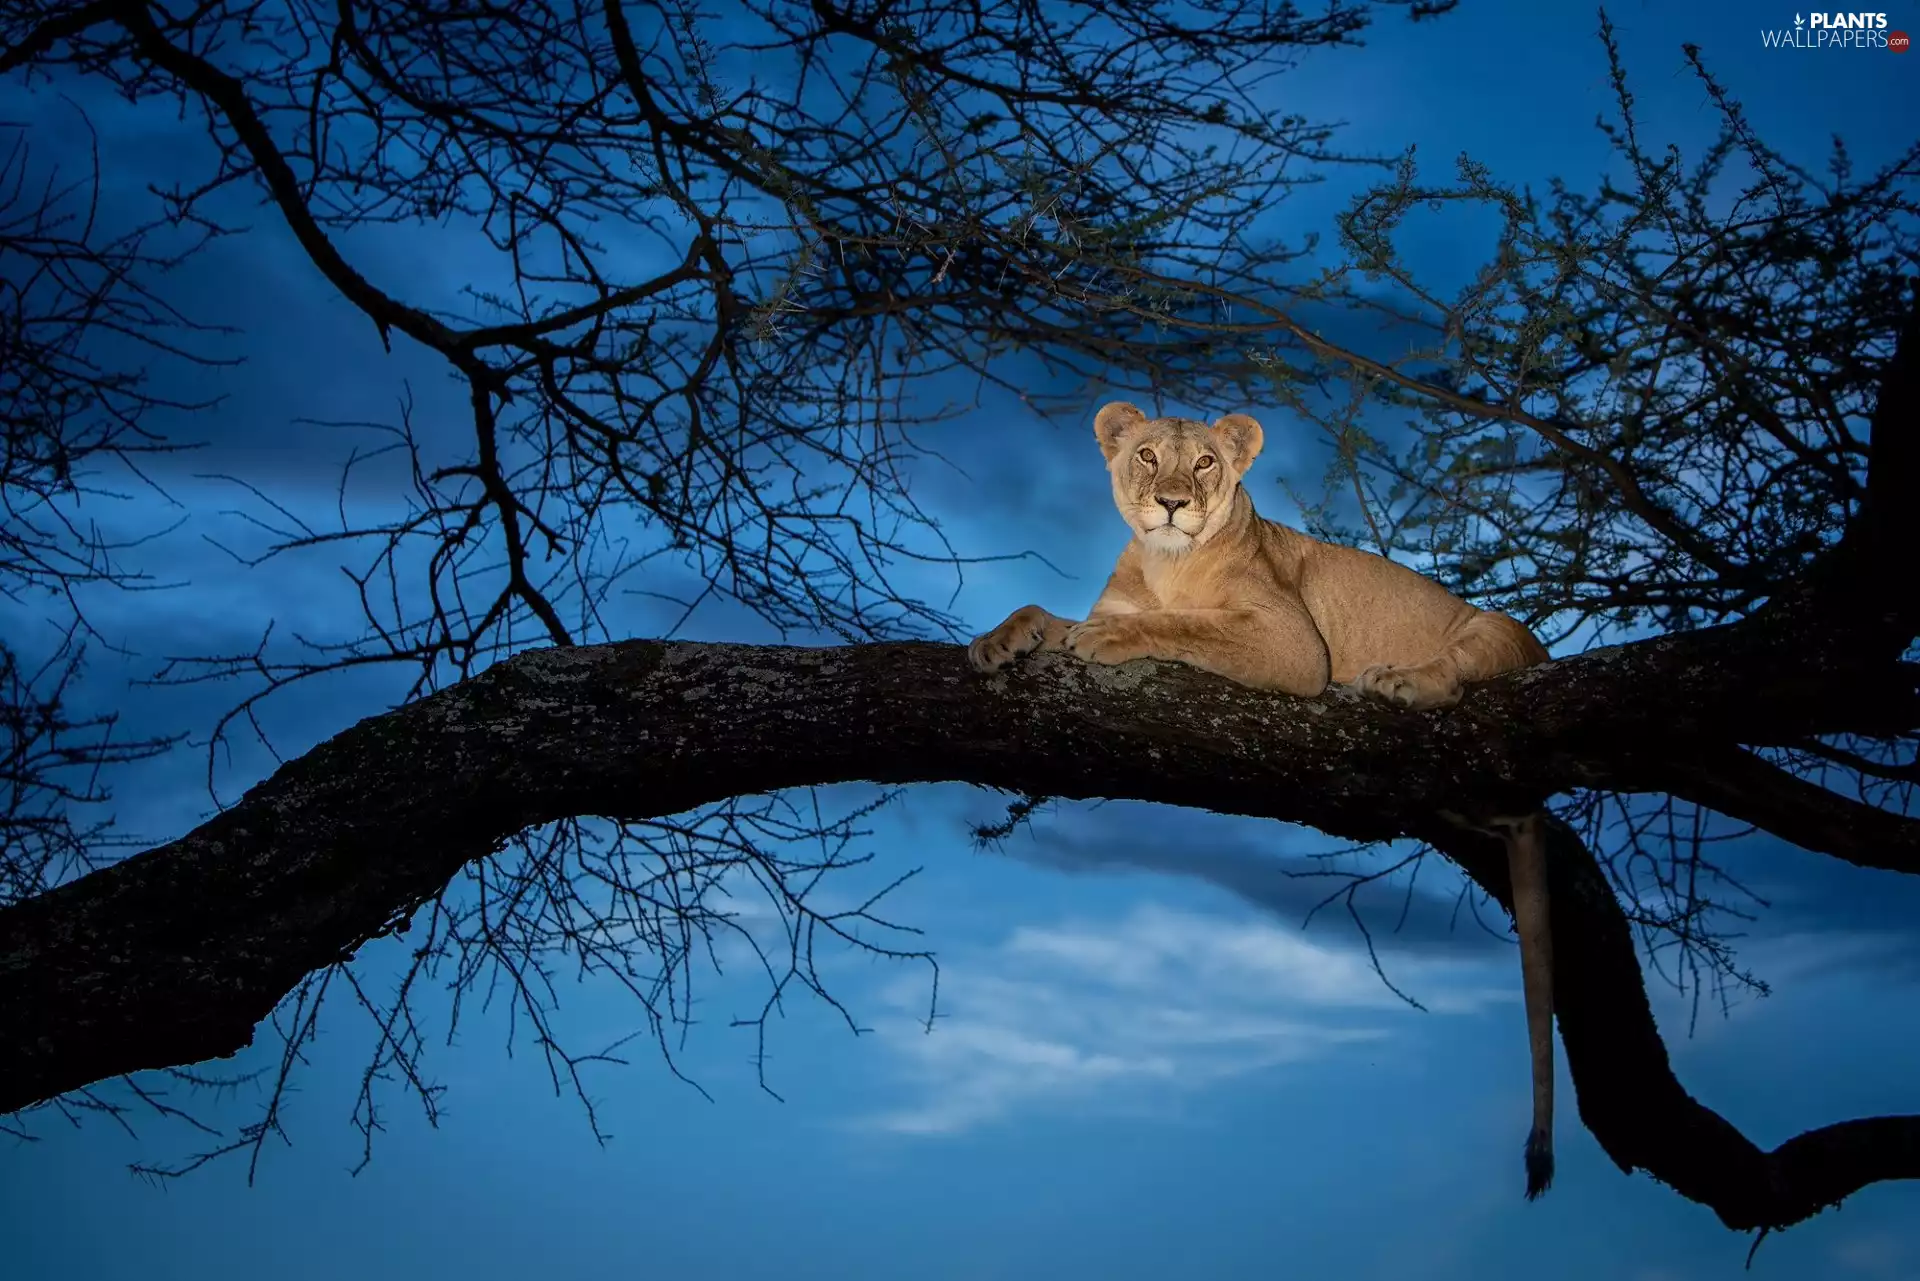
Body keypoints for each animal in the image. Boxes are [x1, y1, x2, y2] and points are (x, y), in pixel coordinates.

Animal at [968, 401, 1557, 1199]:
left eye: (1205, 463)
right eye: (1147, 456)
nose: (1172, 502)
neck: (1167, 562)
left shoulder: (1291, 643)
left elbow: (1185, 626)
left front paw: (1117, 636)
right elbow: (1044, 612)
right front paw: (998, 641)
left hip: (1494, 630)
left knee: (1458, 669)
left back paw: (1400, 680)